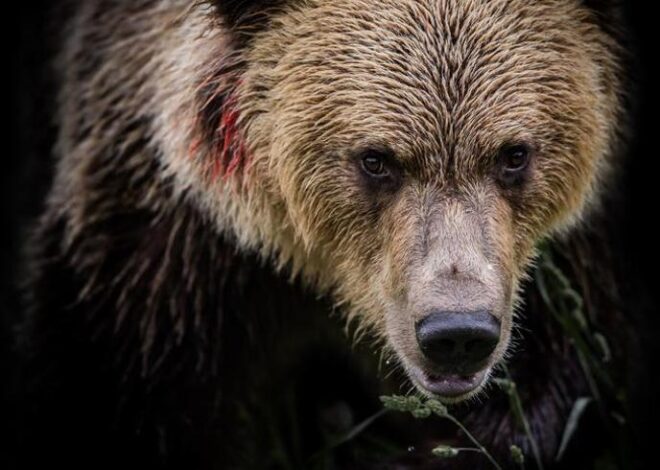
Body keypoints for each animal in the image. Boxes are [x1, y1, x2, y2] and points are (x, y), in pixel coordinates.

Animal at [6, 0, 636, 468]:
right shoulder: (168, 257)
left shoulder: (560, 268)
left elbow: (554, 396)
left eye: (514, 154)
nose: (457, 332)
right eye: (376, 159)